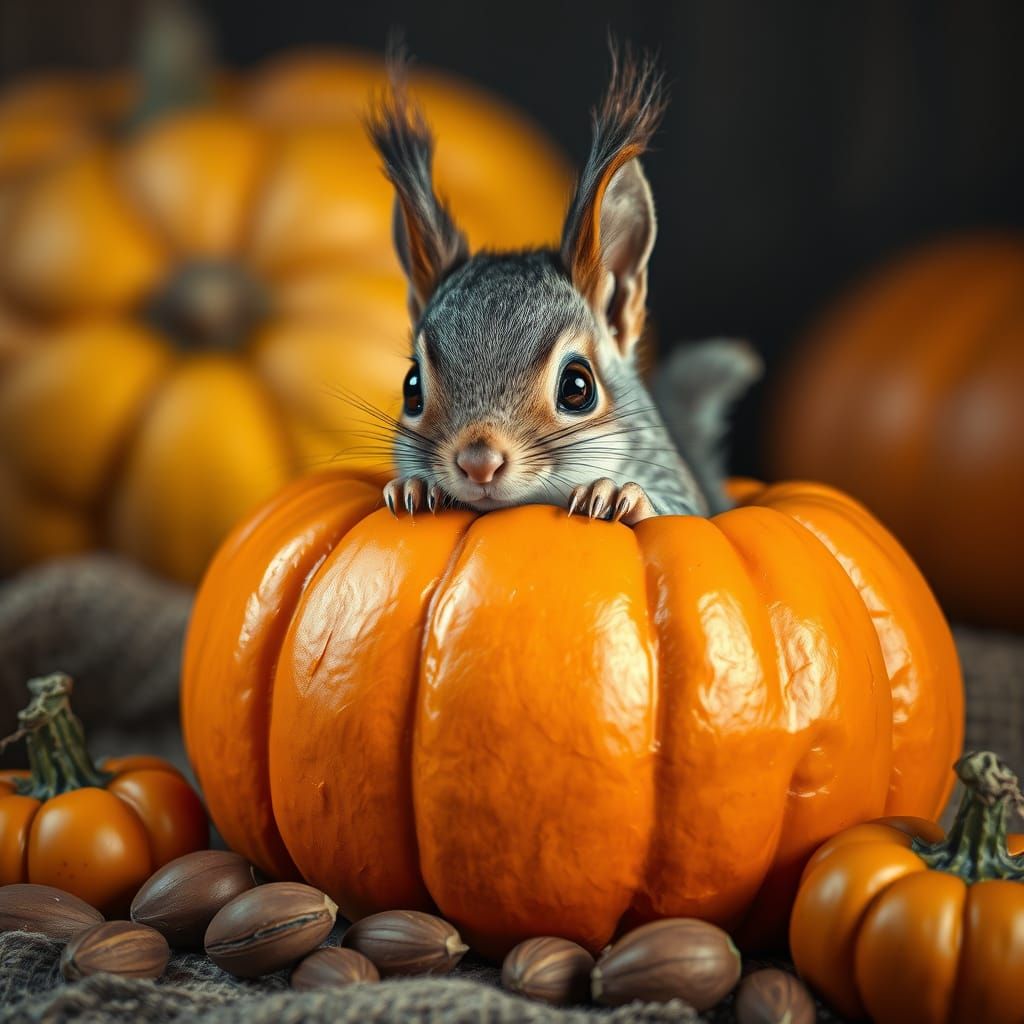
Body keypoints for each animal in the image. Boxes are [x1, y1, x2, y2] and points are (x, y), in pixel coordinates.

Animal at [366, 44, 761, 524]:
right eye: (411, 388)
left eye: (578, 387)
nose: (479, 462)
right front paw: (417, 486)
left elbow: (683, 512)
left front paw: (617, 495)